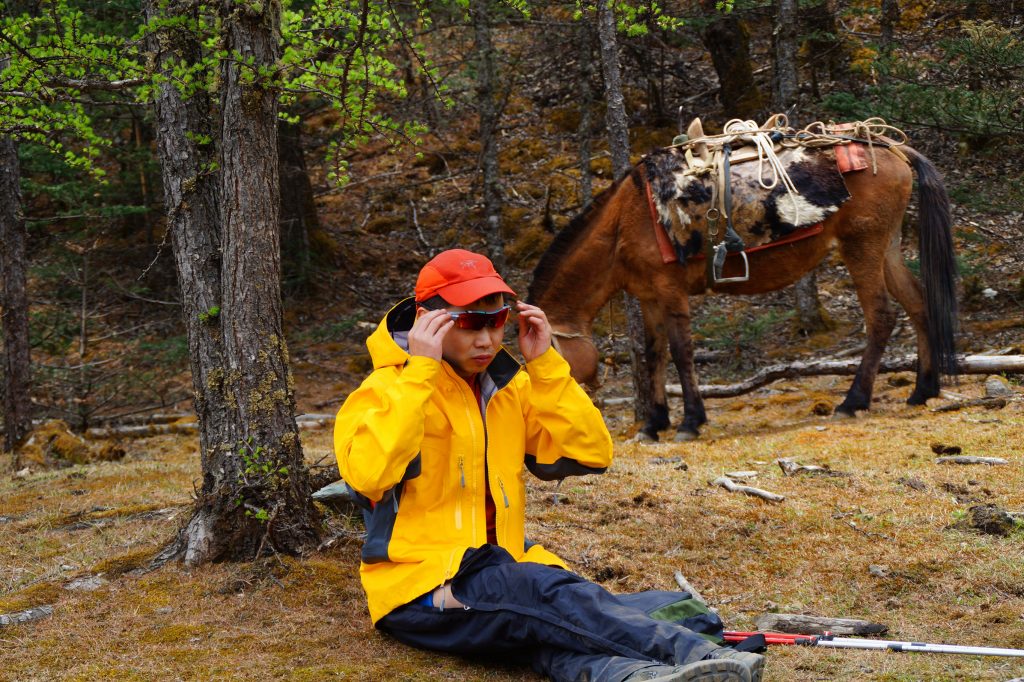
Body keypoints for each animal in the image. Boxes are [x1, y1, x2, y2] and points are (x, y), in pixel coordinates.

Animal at [528, 143, 958, 440]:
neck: (625, 221)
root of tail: (891, 147)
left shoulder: (670, 291)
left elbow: (681, 352)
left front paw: (690, 421)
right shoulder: (648, 297)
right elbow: (654, 356)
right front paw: (653, 424)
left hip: (861, 247)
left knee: (881, 317)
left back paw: (853, 402)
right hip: (886, 247)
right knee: (919, 304)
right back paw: (923, 389)